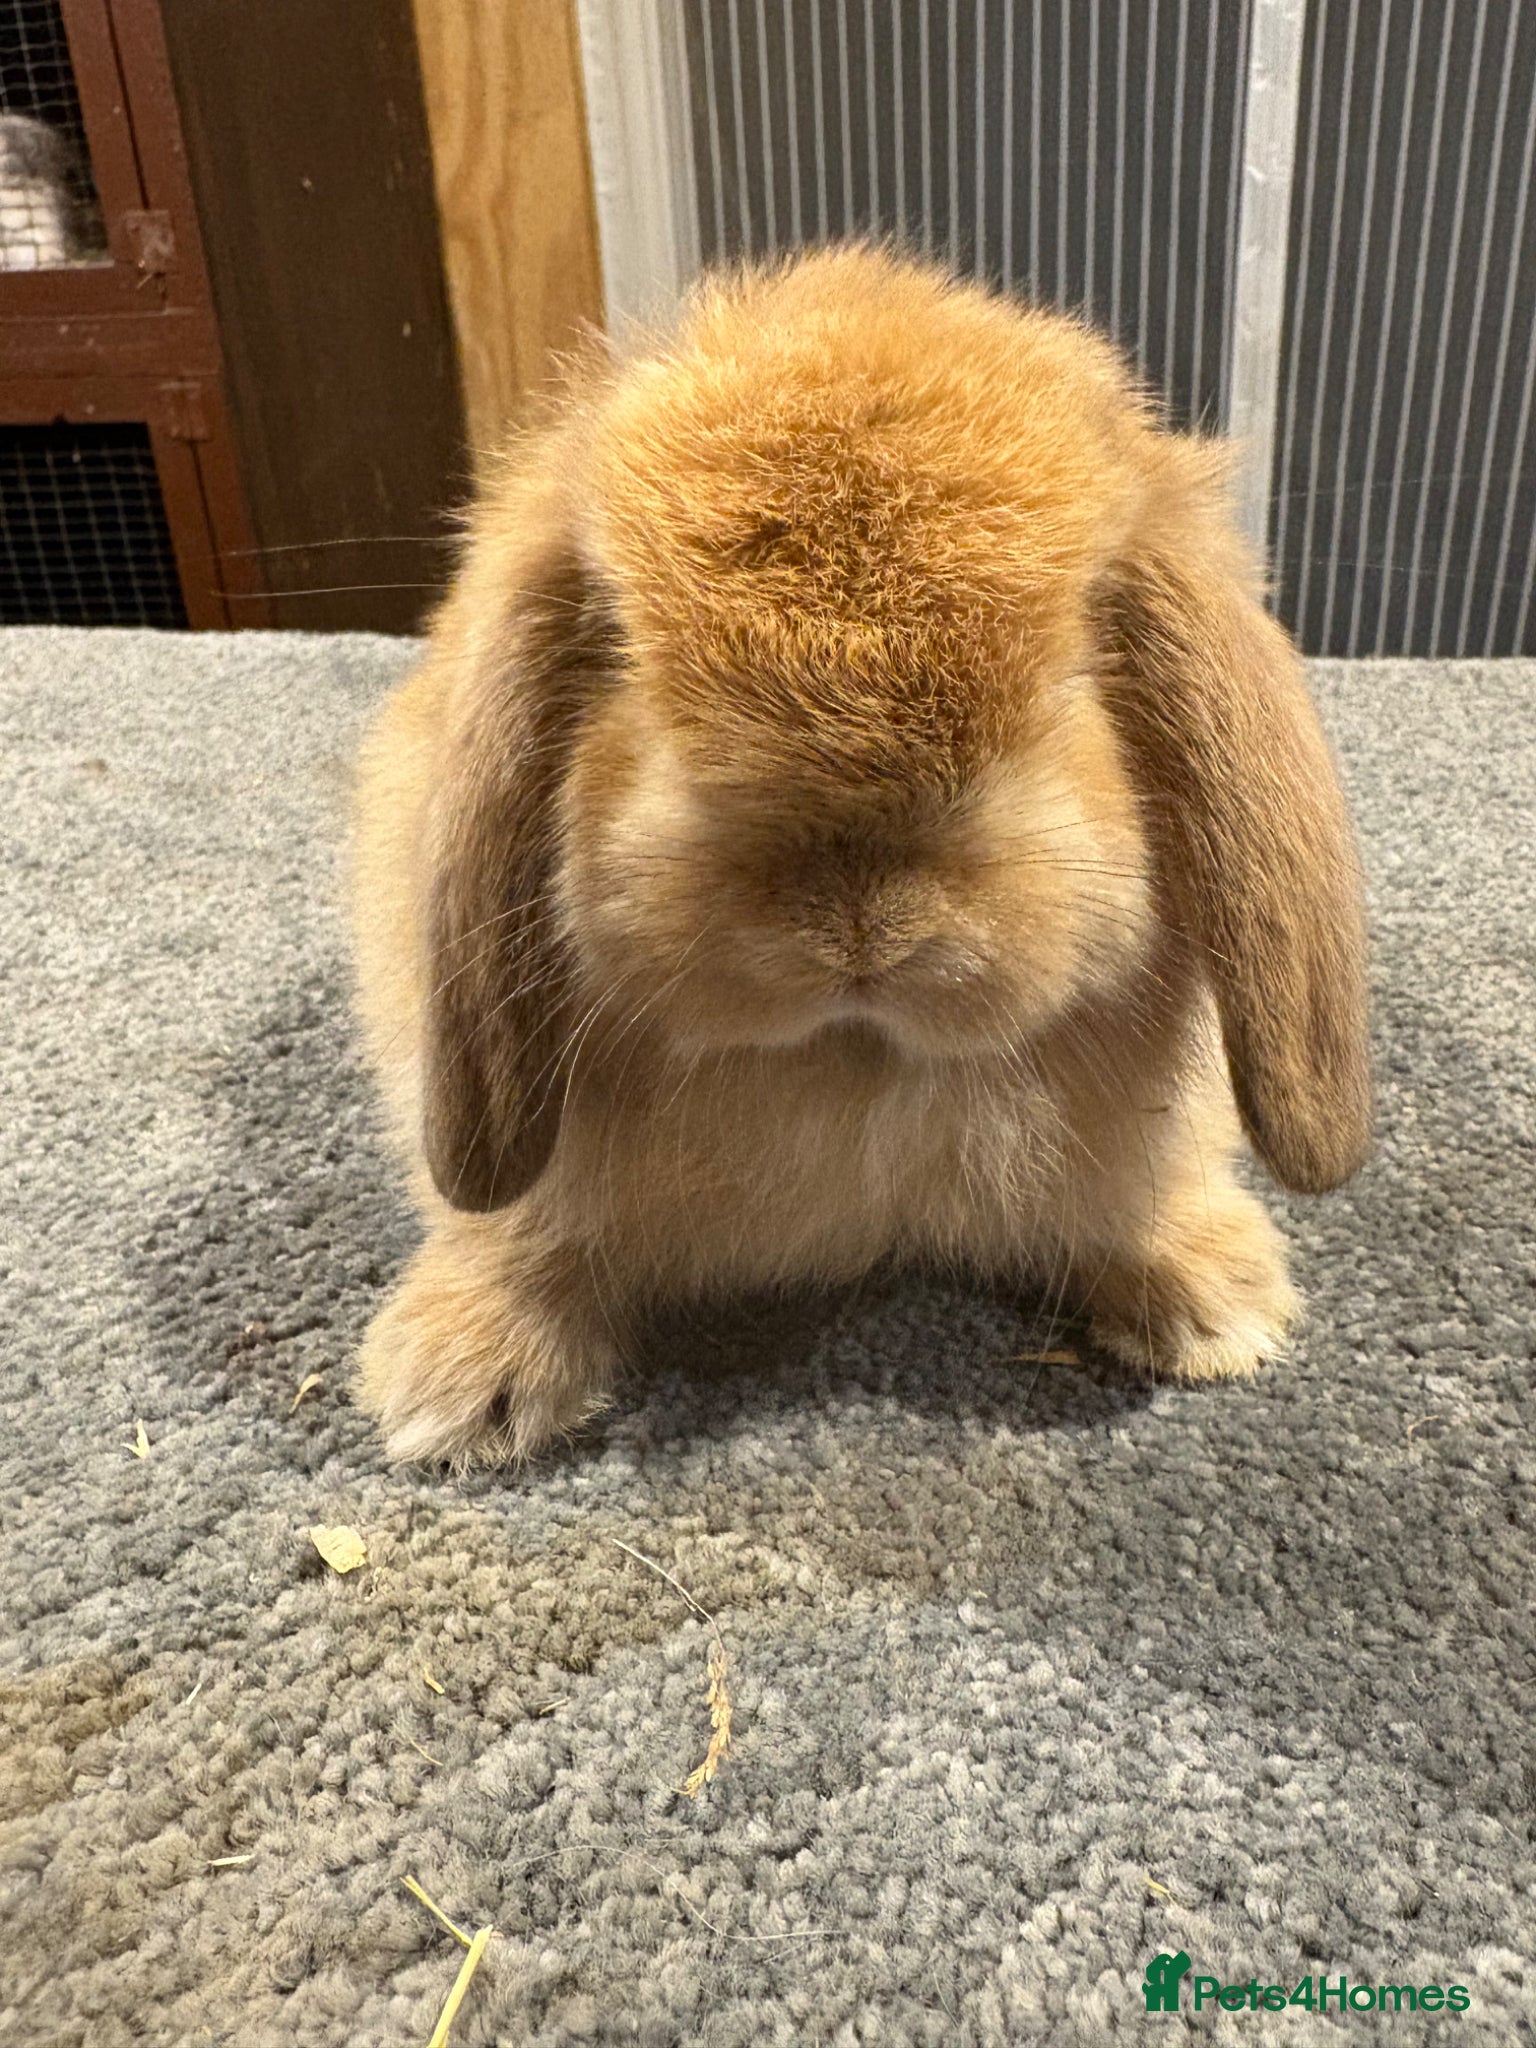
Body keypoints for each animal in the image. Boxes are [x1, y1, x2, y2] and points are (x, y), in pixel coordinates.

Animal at [348, 244, 1370, 1468]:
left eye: (1076, 669)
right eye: (624, 657)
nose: (855, 911)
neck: (853, 1066)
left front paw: (1216, 1307)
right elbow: (527, 1235)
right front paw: (462, 1391)